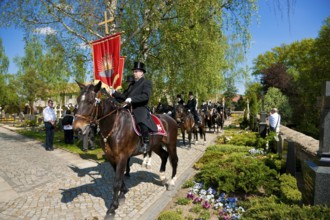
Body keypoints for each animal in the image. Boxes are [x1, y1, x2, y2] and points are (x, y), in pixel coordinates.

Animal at [74, 81, 179, 218]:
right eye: (77, 100)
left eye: (90, 102)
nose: (77, 129)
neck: (114, 125)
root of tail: (170, 119)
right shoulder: (111, 157)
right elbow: (120, 179)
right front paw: (123, 194)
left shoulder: (122, 157)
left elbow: (117, 182)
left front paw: (112, 208)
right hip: (155, 145)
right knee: (164, 156)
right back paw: (162, 178)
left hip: (171, 144)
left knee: (174, 160)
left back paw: (171, 182)